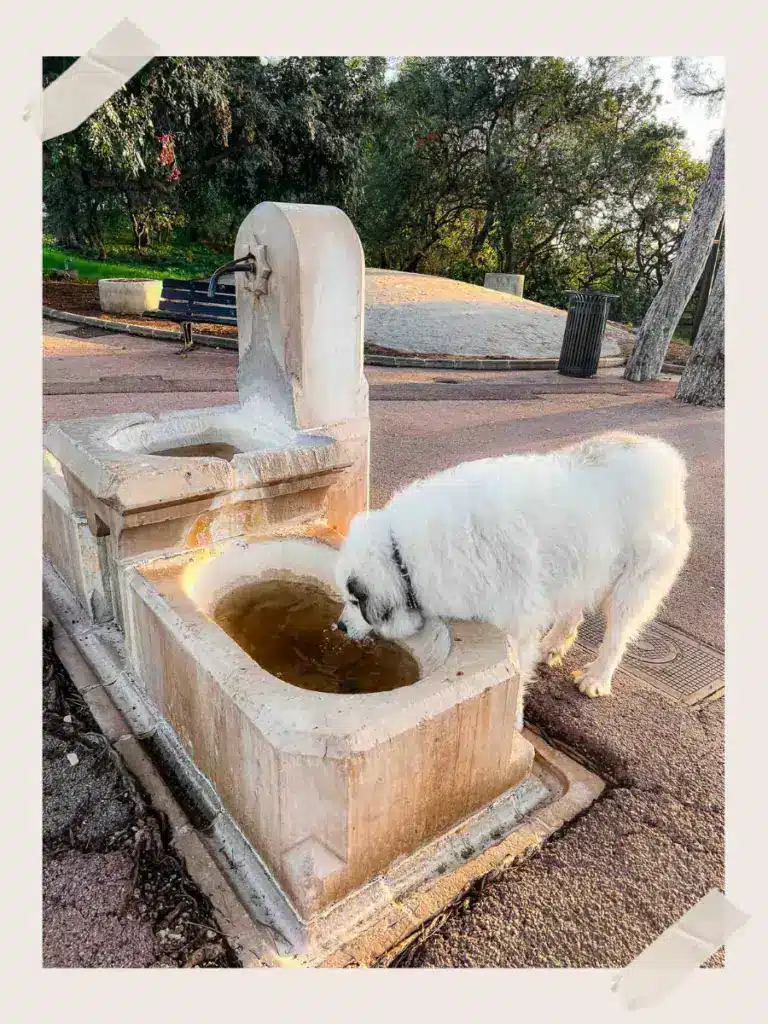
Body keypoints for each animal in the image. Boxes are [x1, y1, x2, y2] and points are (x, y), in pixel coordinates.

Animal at [335, 430, 692, 712]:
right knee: (573, 613)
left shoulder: (516, 625)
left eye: (355, 601)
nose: (338, 626)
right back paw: (552, 646)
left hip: (633, 585)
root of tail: (666, 457)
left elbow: (517, 680)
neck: (404, 554)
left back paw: (596, 678)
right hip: (582, 566)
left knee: (618, 634)